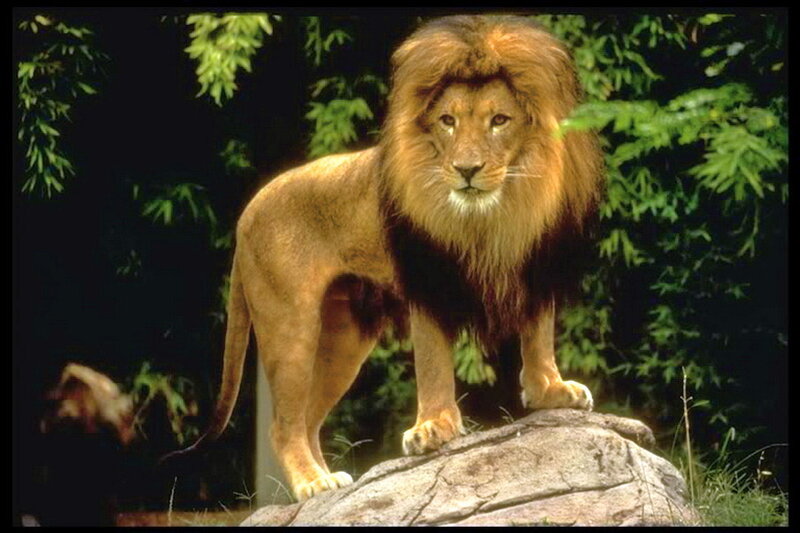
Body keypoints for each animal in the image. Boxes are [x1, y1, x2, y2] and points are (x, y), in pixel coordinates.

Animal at [163, 15, 604, 502]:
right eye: (447, 121)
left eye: (499, 121)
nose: (466, 170)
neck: (492, 215)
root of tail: (248, 212)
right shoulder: (428, 279)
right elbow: (433, 362)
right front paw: (433, 428)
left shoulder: (535, 266)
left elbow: (538, 338)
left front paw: (551, 391)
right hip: (290, 324)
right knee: (284, 424)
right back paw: (312, 484)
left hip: (343, 339)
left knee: (308, 418)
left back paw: (329, 482)